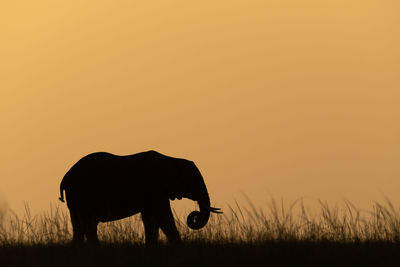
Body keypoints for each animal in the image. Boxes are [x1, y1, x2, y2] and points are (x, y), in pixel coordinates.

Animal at [58, 151, 222, 245]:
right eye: (194, 180)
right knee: (88, 225)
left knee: (80, 226)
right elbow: (161, 218)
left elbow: (157, 219)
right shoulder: (153, 189)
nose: (195, 215)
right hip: (81, 195)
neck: (171, 160)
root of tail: (65, 177)